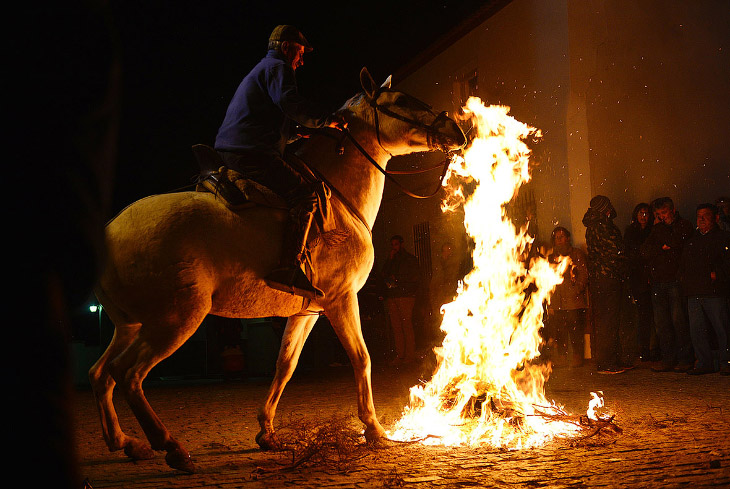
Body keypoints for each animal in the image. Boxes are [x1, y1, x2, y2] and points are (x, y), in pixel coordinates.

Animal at [89, 66, 466, 470]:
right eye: (399, 101)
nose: (455, 131)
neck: (339, 201)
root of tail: (108, 232)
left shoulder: (307, 311)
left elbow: (285, 364)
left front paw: (266, 432)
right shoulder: (341, 300)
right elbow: (361, 358)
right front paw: (374, 429)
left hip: (131, 325)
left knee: (102, 375)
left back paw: (125, 442)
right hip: (175, 321)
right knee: (128, 375)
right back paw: (170, 446)